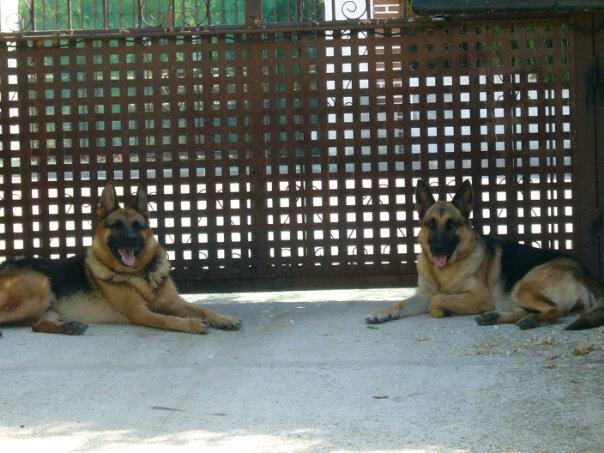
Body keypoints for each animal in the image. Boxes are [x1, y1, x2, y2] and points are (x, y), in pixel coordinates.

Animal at [0, 183, 241, 336]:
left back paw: (70, 327)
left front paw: (223, 319)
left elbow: (205, 309)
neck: (141, 274)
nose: (131, 239)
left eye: (137, 226)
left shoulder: (174, 303)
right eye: (116, 226)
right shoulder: (141, 313)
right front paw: (191, 324)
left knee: (37, 325)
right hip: (37, 293)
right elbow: (169, 319)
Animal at [366, 178, 600, 330]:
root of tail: (587, 273)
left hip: (523, 286)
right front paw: (382, 312)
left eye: (452, 225)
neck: (444, 271)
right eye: (430, 224)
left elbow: (438, 299)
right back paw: (494, 318)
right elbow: (402, 303)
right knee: (527, 311)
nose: (438, 248)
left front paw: (443, 309)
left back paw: (528, 321)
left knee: (556, 310)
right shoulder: (422, 295)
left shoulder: (480, 296)